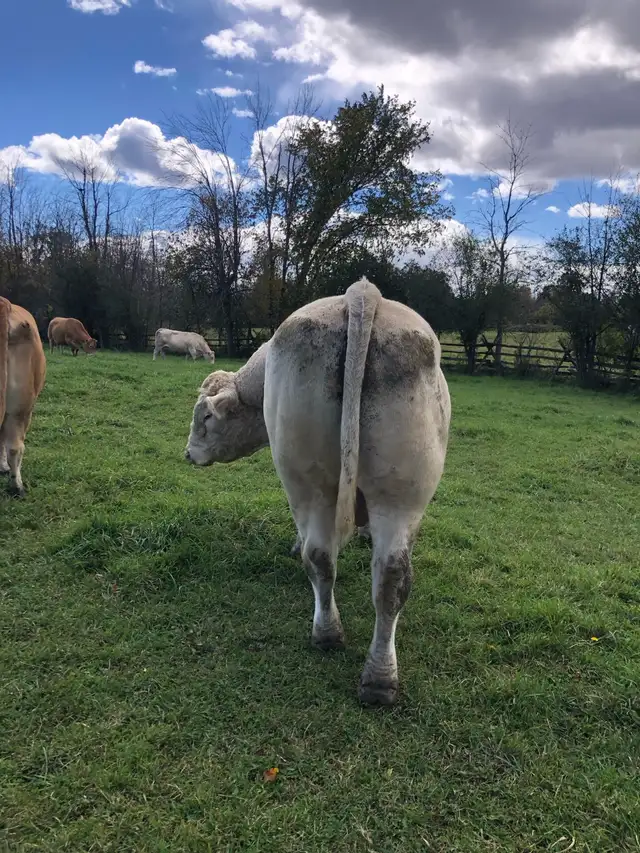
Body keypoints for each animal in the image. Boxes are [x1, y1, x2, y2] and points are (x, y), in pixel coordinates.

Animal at [184, 278, 451, 706]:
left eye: (205, 416)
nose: (188, 453)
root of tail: (361, 293)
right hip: (394, 492)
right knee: (379, 571)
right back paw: (370, 669)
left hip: (317, 481)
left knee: (334, 559)